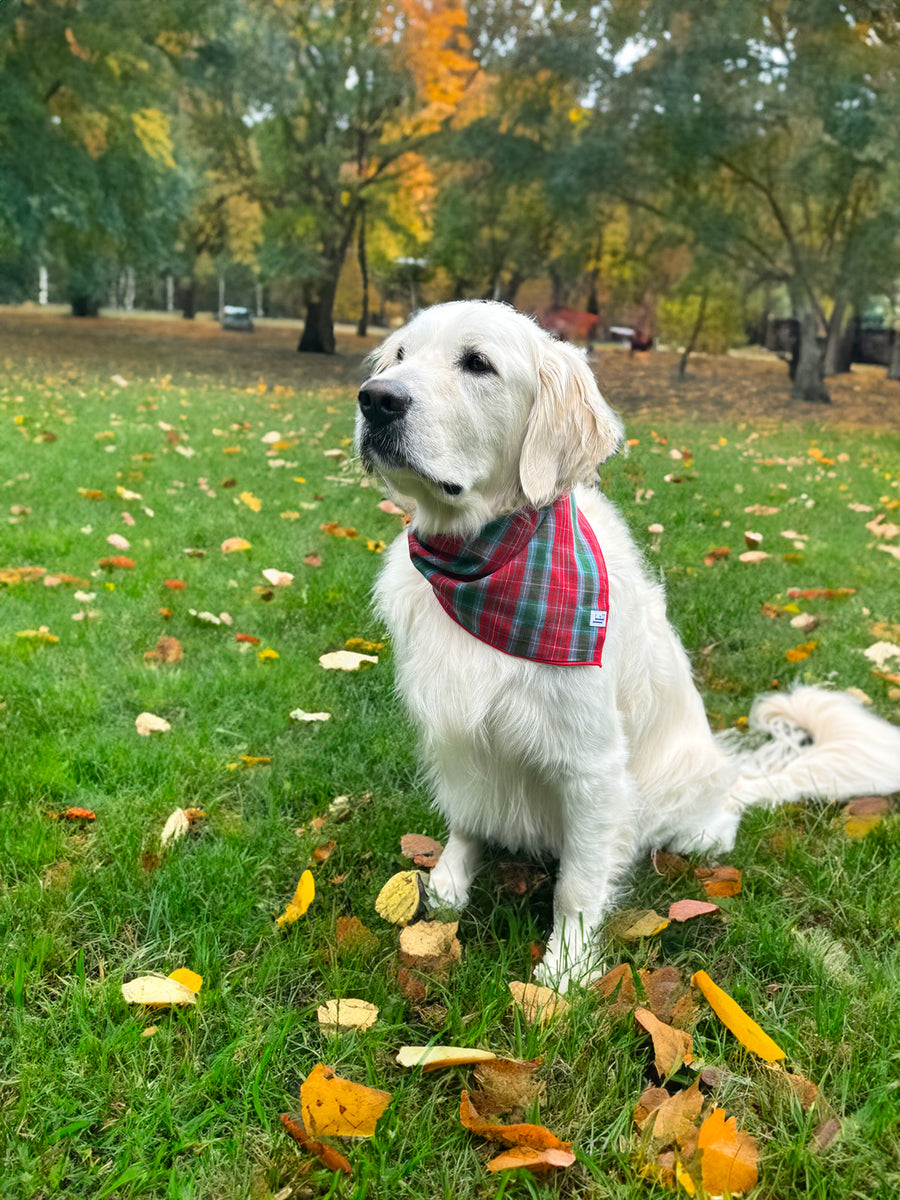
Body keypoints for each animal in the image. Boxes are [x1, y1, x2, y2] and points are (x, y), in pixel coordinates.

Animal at [355, 297, 900, 984]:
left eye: (478, 363)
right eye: (398, 355)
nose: (374, 400)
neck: (483, 560)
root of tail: (729, 775)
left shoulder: (591, 766)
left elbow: (577, 884)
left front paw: (563, 973)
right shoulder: (456, 728)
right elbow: (466, 816)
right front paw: (450, 886)